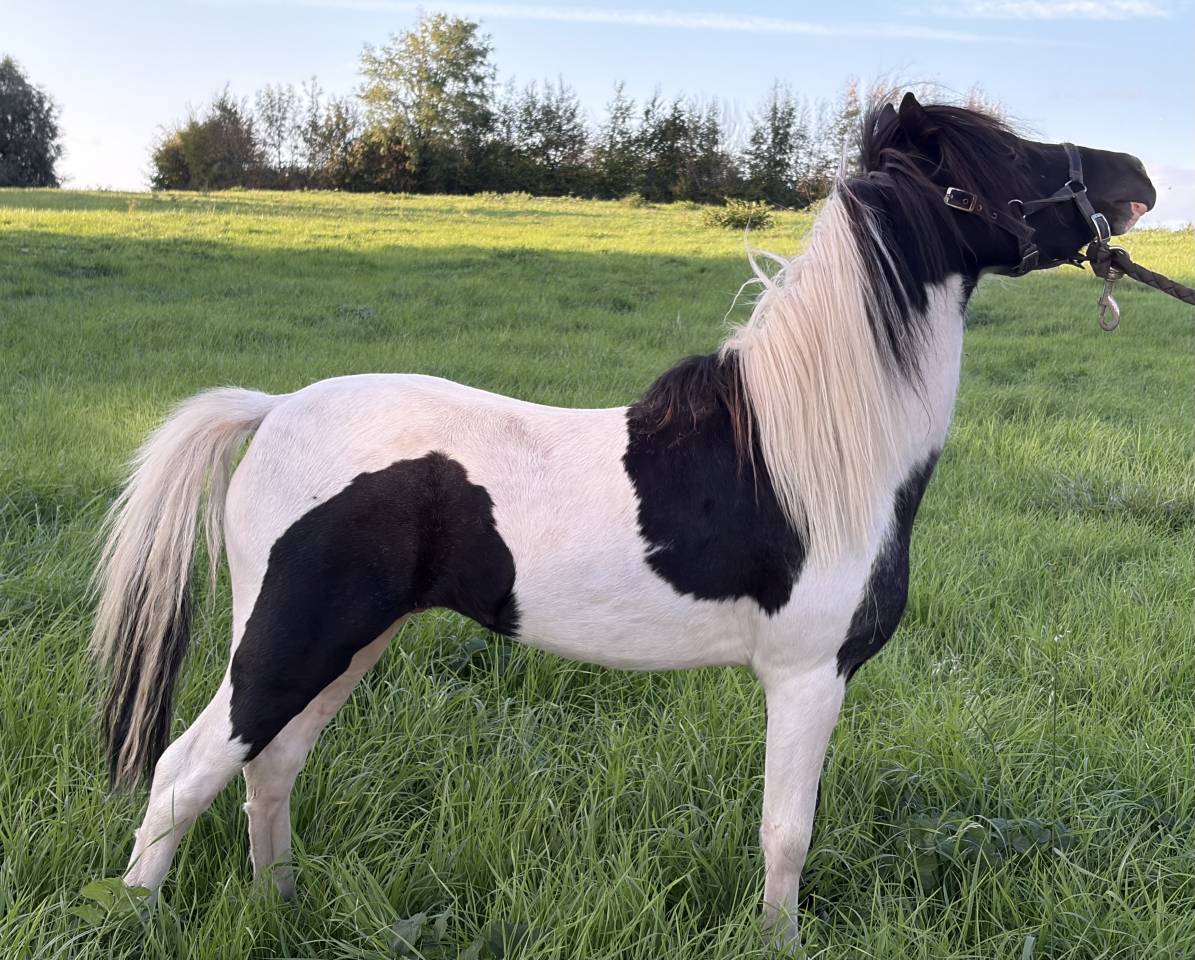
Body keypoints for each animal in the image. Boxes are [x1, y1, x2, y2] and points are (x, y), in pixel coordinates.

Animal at [91, 93, 1155, 943]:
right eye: (1008, 158)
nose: (1138, 175)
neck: (811, 455)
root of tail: (271, 410)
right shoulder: (807, 676)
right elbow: (786, 835)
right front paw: (778, 941)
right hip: (293, 640)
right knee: (186, 771)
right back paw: (141, 919)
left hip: (351, 641)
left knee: (269, 769)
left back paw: (283, 908)